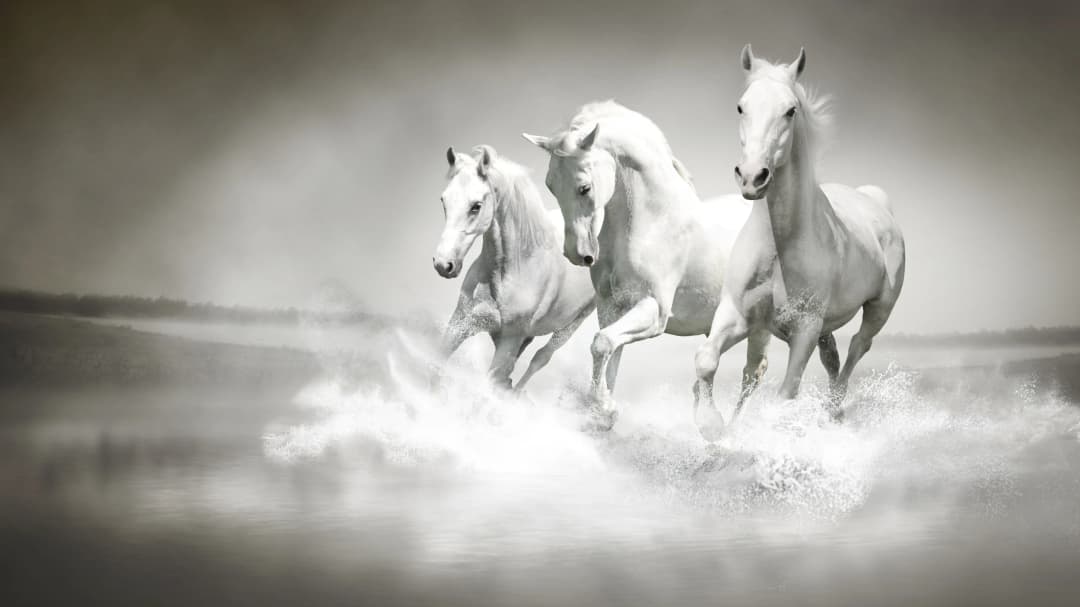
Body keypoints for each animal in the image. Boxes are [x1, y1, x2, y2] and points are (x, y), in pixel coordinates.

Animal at [433, 145, 596, 390]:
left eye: (476, 206)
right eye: (444, 200)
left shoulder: (509, 340)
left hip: (573, 324)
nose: (443, 264)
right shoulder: (461, 322)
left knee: (540, 358)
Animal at [523, 101, 766, 431]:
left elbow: (601, 344)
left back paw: (728, 431)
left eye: (584, 187)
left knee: (753, 372)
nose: (577, 254)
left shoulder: (654, 310)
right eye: (550, 186)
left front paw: (604, 408)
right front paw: (602, 412)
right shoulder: (612, 308)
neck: (652, 222)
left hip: (760, 325)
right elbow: (609, 354)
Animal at [693, 46, 906, 439]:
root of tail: (876, 202)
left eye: (790, 110)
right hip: (824, 327)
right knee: (830, 358)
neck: (780, 246)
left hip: (879, 308)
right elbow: (707, 359)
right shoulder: (737, 314)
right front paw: (712, 426)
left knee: (858, 347)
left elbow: (786, 392)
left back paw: (833, 411)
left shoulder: (804, 329)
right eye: (741, 106)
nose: (752, 177)